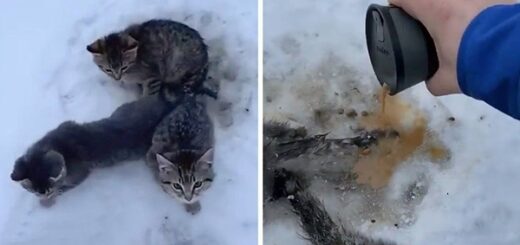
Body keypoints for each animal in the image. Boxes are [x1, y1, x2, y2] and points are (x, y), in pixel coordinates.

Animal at [10, 94, 175, 207]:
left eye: (49, 191)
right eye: (34, 192)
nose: (43, 198)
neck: (58, 145)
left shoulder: (80, 174)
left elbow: (69, 185)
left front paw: (60, 192)